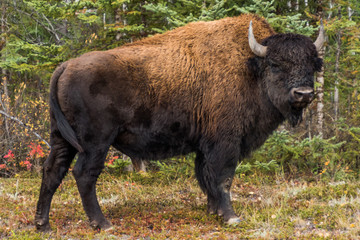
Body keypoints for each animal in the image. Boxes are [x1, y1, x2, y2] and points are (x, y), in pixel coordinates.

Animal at [35, 14, 324, 232]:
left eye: (312, 64)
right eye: (275, 64)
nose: (304, 94)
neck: (249, 68)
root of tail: (65, 66)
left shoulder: (205, 146)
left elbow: (206, 177)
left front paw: (213, 211)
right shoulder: (225, 143)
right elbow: (223, 178)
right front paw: (230, 216)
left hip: (61, 138)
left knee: (52, 171)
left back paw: (43, 225)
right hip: (96, 143)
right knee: (84, 175)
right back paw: (103, 224)